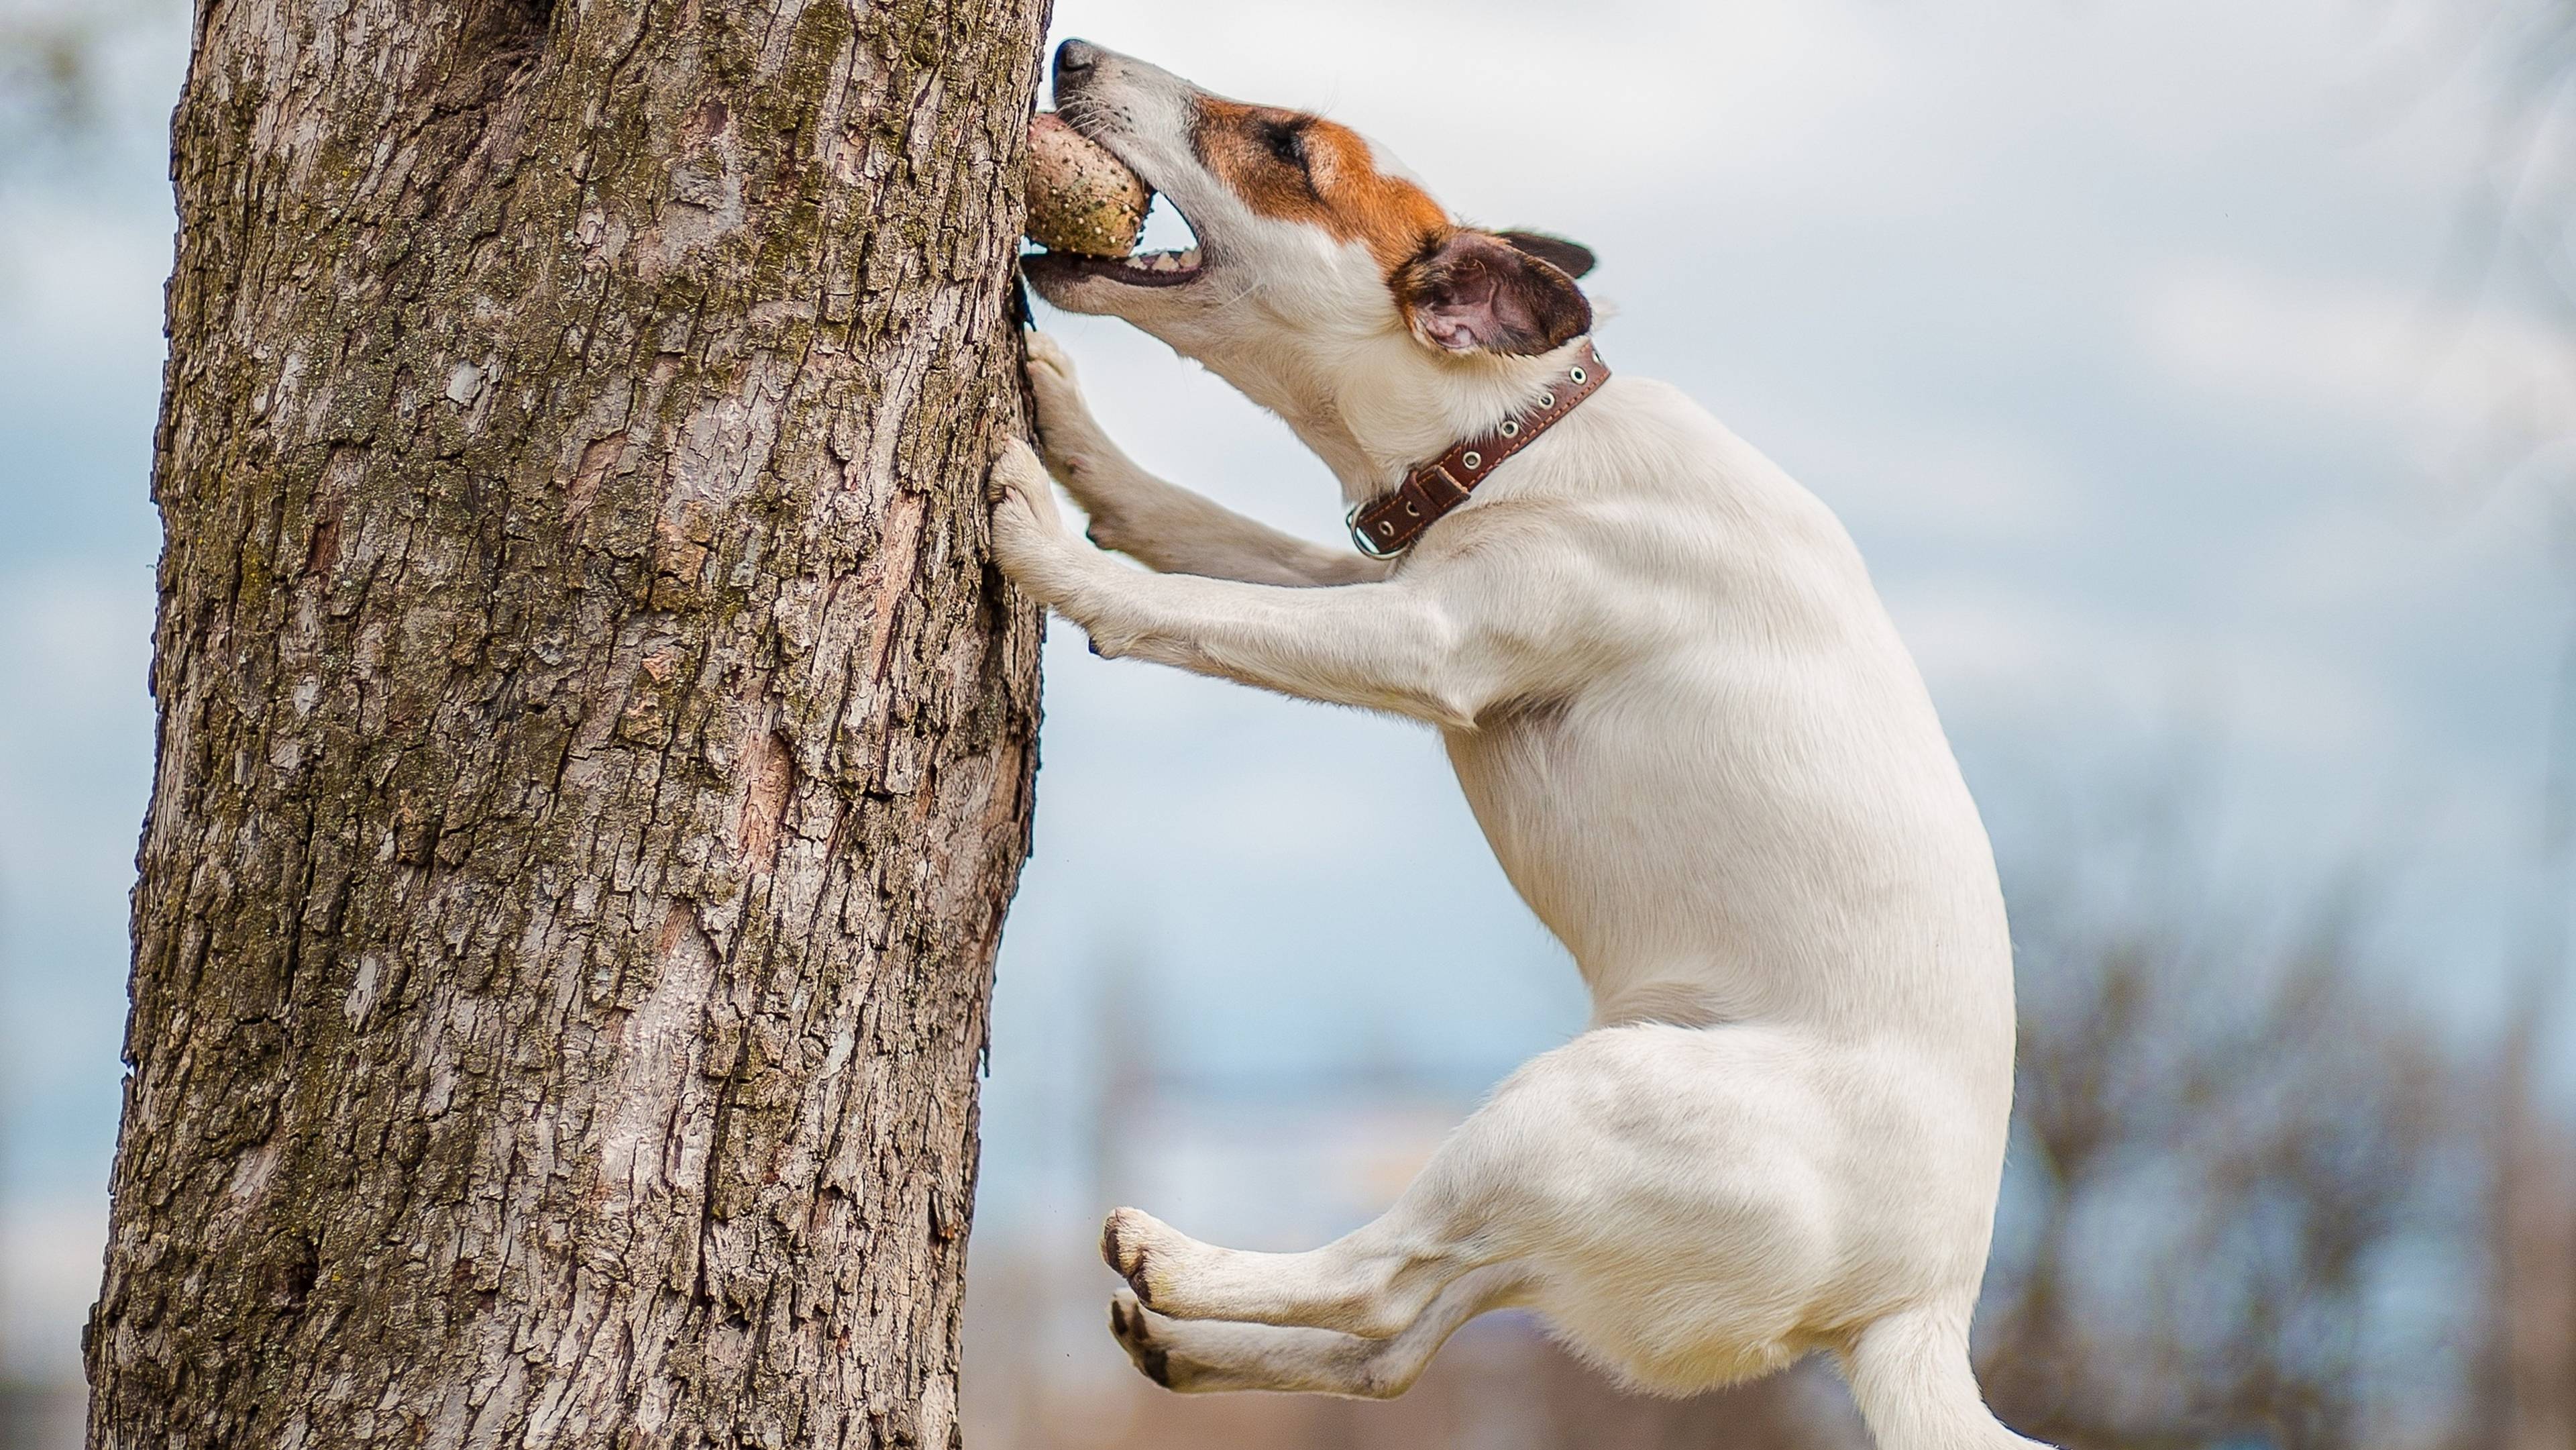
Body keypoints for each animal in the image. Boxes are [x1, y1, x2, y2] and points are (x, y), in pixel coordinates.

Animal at [983, 40, 2050, 1442]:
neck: (1518, 429)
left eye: (1285, 146)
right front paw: (1084, 452)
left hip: (1573, 1106)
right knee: (1400, 1337)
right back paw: (1195, 1350)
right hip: (1573, 1208)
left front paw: (1049, 544)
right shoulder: (1374, 575)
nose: (1073, 51)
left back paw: (1183, 1262)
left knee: (1379, 1274)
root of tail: (1916, 1307)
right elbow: (1207, 536)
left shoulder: (1429, 640)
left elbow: (1200, 609)